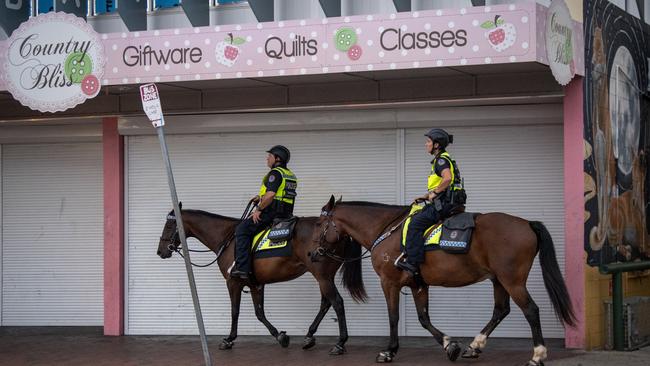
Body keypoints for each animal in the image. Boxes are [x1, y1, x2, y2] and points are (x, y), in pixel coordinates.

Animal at [156, 204, 364, 354]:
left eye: (169, 225)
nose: (160, 251)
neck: (228, 238)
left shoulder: (233, 282)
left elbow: (235, 311)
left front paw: (228, 339)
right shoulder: (256, 284)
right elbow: (259, 313)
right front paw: (280, 336)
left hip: (322, 276)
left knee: (337, 302)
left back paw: (340, 343)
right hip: (324, 277)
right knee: (326, 303)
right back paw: (309, 336)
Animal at [314, 197, 572, 366]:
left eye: (319, 224)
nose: (313, 253)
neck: (387, 231)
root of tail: (526, 223)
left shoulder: (389, 282)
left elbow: (394, 317)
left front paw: (389, 352)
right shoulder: (418, 285)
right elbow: (424, 318)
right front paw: (450, 345)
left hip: (513, 281)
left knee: (531, 310)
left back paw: (537, 356)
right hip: (499, 280)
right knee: (501, 310)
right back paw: (474, 347)